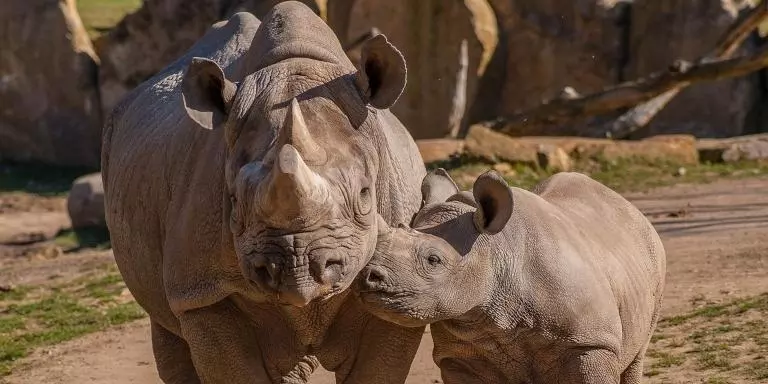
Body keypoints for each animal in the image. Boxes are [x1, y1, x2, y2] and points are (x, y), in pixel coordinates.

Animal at [101, 2, 426, 380]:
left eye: (364, 195)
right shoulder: (203, 291)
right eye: (233, 202)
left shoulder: (402, 284)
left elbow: (378, 368)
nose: (297, 268)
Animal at [356, 171, 664, 384]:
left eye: (434, 260)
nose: (369, 276)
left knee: (636, 356)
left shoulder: (591, 342)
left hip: (653, 258)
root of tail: (630, 207)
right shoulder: (460, 355)